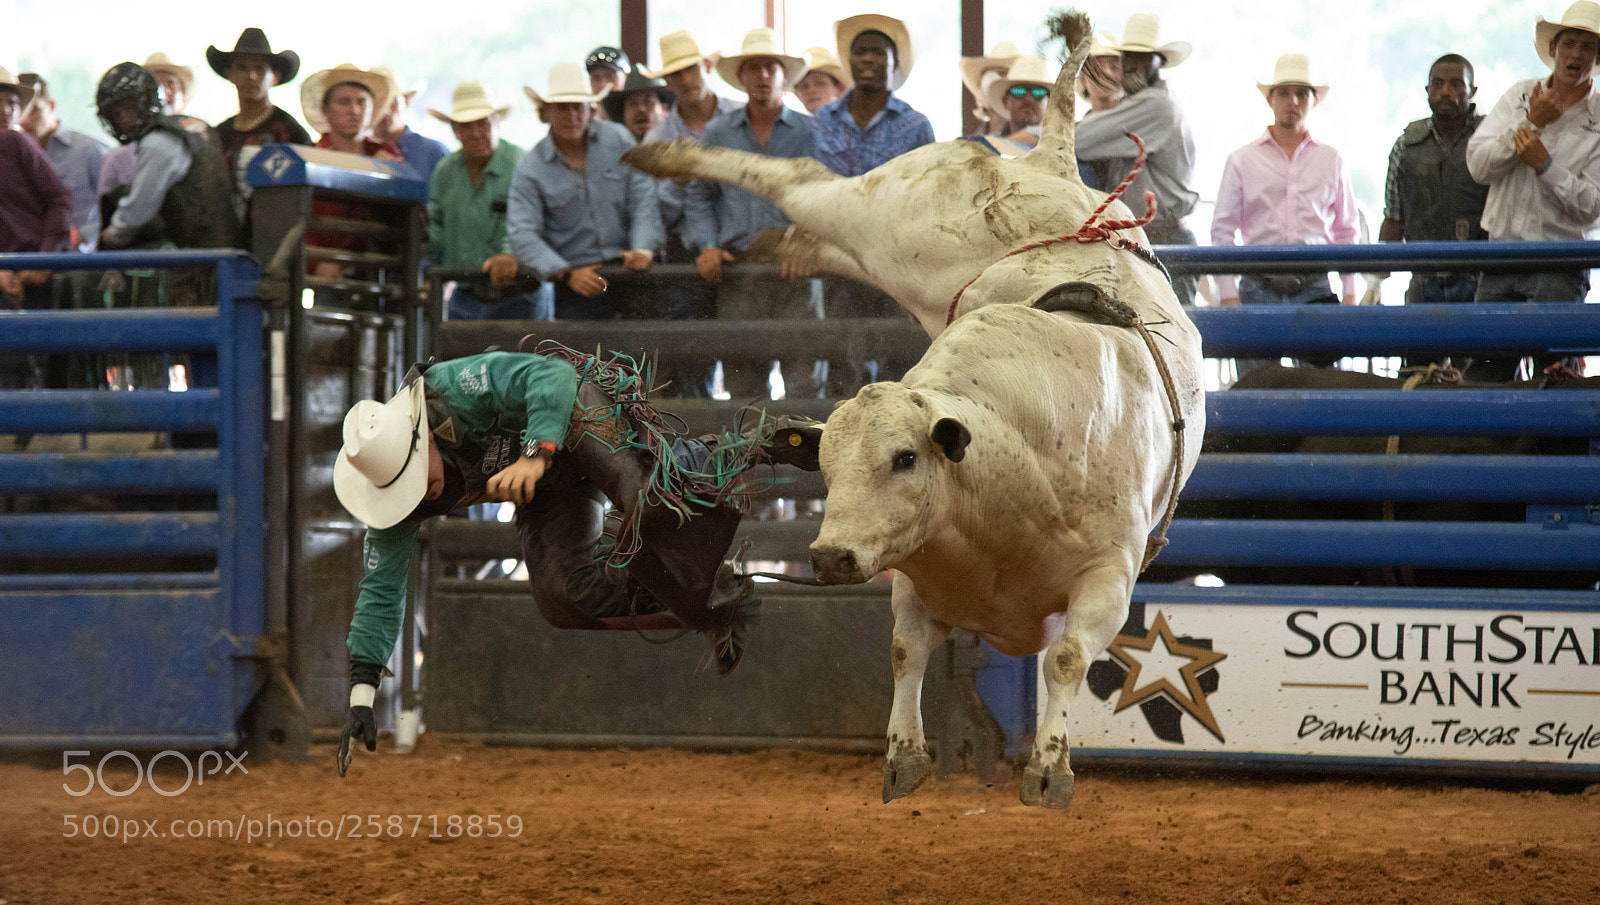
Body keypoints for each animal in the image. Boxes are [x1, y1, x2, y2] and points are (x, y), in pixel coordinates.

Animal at [625, 12, 1205, 810]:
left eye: (904, 457)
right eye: (823, 467)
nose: (829, 556)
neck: (1013, 469)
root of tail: (1052, 160)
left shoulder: (1108, 577)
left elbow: (1063, 658)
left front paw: (1049, 767)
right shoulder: (912, 562)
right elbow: (906, 646)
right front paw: (903, 754)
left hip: (904, 225)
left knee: (808, 188)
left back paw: (751, 217)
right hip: (903, 230)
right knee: (803, 183)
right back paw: (670, 160)